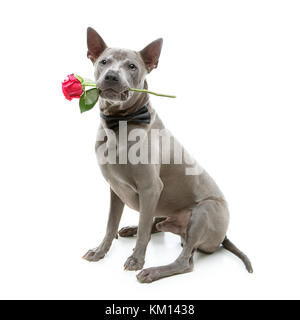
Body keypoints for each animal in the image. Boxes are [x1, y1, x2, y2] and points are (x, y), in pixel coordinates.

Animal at [81, 27, 252, 282]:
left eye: (132, 66)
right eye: (104, 61)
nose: (111, 76)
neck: (120, 123)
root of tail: (222, 237)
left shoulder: (150, 187)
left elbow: (144, 231)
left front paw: (136, 261)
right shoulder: (115, 189)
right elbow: (111, 224)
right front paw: (100, 251)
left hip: (205, 211)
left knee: (184, 261)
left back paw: (151, 271)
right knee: (154, 225)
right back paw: (132, 229)